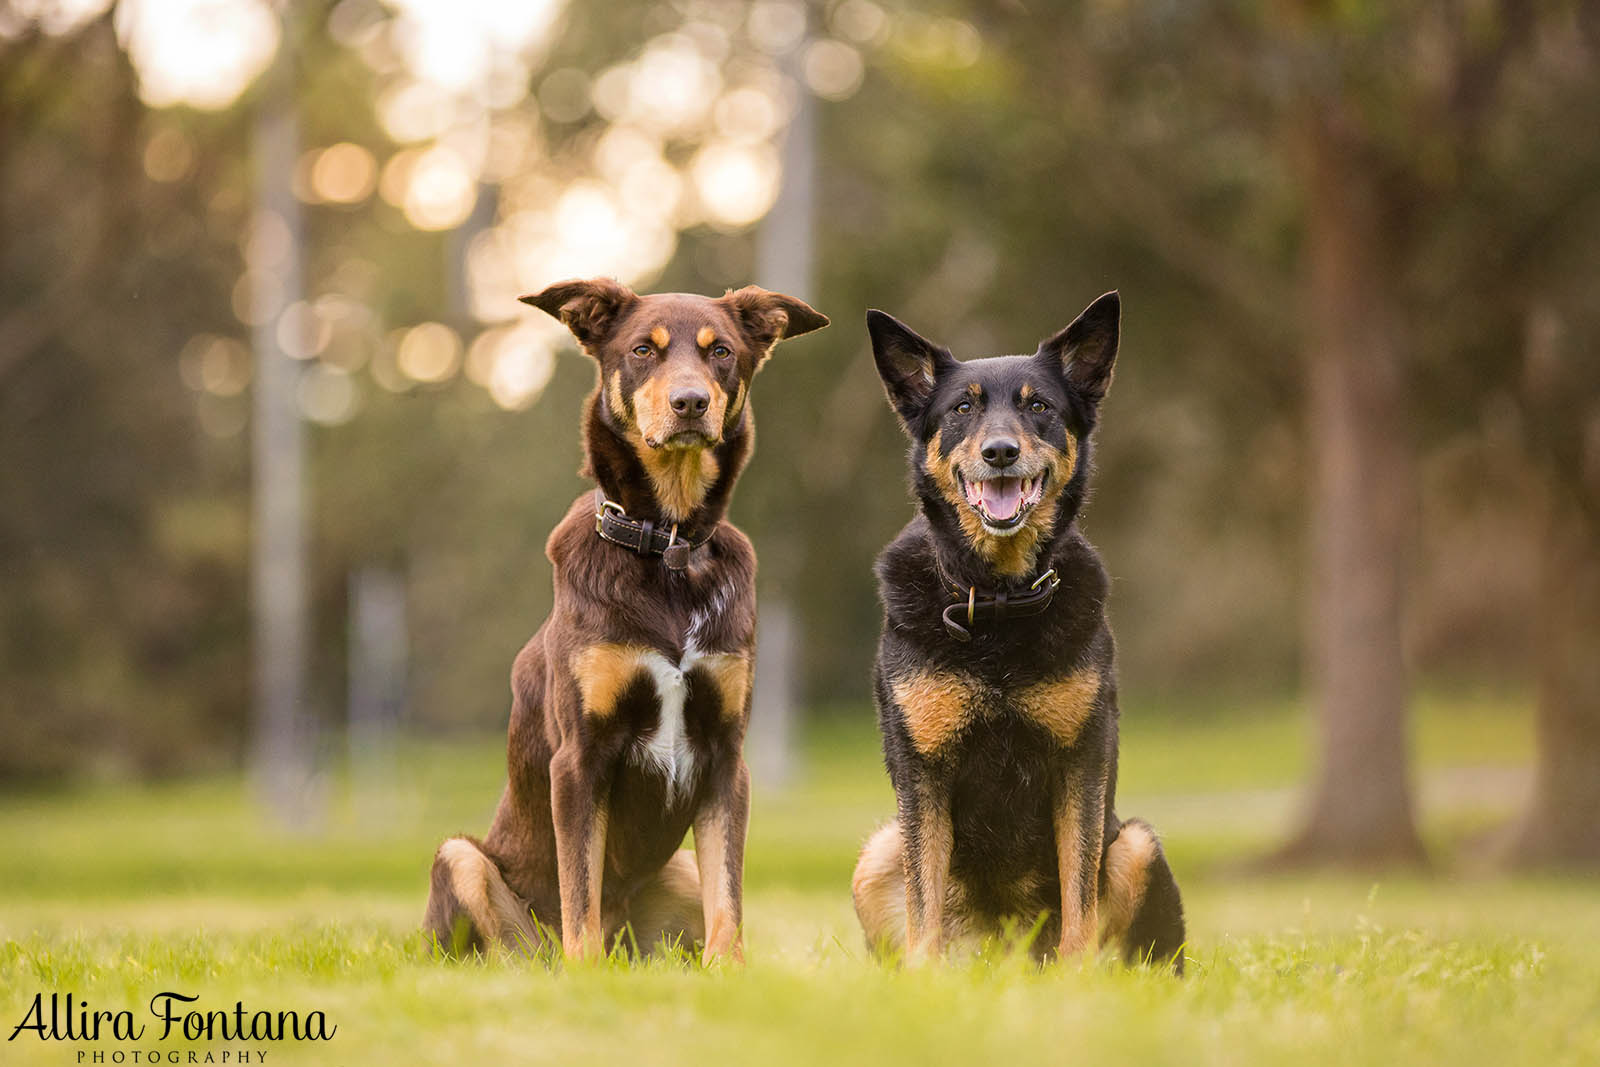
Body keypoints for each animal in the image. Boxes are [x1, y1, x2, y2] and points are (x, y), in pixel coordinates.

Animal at [425, 279, 825, 966]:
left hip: (676, 874)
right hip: (462, 862)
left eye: (721, 351)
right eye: (643, 349)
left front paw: (729, 971)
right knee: (517, 942)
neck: (668, 546)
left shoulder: (726, 757)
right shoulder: (579, 759)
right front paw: (587, 977)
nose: (691, 403)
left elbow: (730, 896)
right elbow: (579, 888)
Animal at [857, 294, 1184, 979]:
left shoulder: (1081, 759)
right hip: (877, 853)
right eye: (962, 408)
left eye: (1040, 407)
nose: (1001, 452)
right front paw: (924, 982)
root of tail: (1004, 958)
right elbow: (924, 895)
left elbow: (1079, 884)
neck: (999, 601)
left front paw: (1076, 977)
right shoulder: (923, 770)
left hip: (1137, 843)